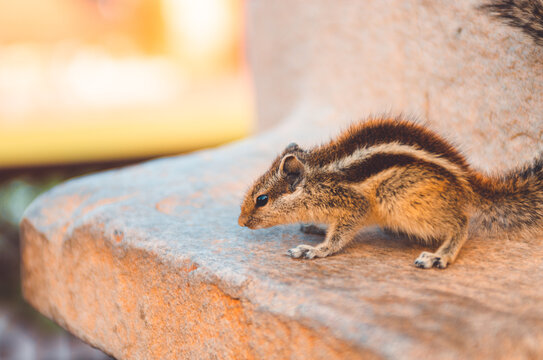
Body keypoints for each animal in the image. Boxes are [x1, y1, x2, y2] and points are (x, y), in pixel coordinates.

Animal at [238, 116, 543, 268]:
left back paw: (439, 255)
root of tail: (469, 183)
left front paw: (315, 250)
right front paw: (315, 226)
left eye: (262, 199)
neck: (318, 177)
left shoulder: (352, 203)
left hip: (399, 198)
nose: (241, 222)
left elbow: (339, 236)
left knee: (461, 223)